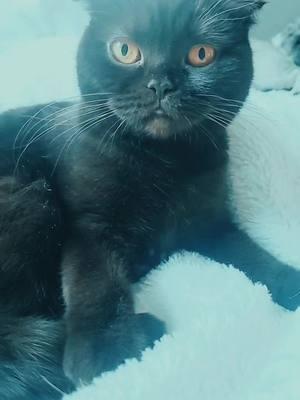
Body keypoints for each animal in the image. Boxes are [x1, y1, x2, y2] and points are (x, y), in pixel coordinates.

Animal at [1, 0, 298, 398]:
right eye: (124, 50)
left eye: (201, 54)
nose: (161, 85)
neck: (163, 163)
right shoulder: (91, 224)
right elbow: (96, 280)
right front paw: (106, 352)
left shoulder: (211, 223)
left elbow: (251, 254)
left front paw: (289, 282)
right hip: (34, 199)